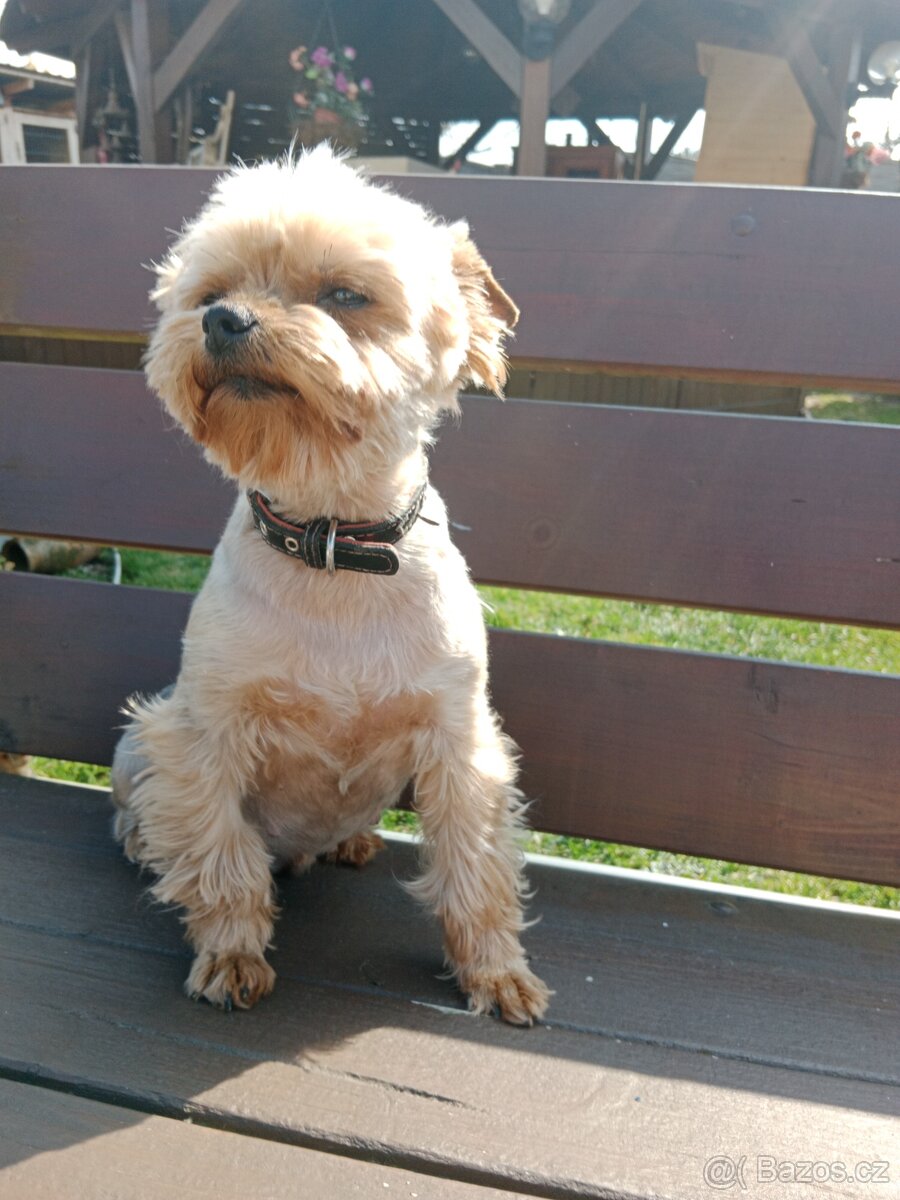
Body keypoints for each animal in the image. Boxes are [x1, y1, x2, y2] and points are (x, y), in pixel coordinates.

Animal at [111, 147, 550, 1025]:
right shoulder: (204, 738)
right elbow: (221, 856)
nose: (224, 320)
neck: (334, 542)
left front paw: (495, 971)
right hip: (141, 739)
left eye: (346, 295)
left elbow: (477, 867)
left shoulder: (459, 742)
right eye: (208, 293)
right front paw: (232, 954)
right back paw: (146, 842)